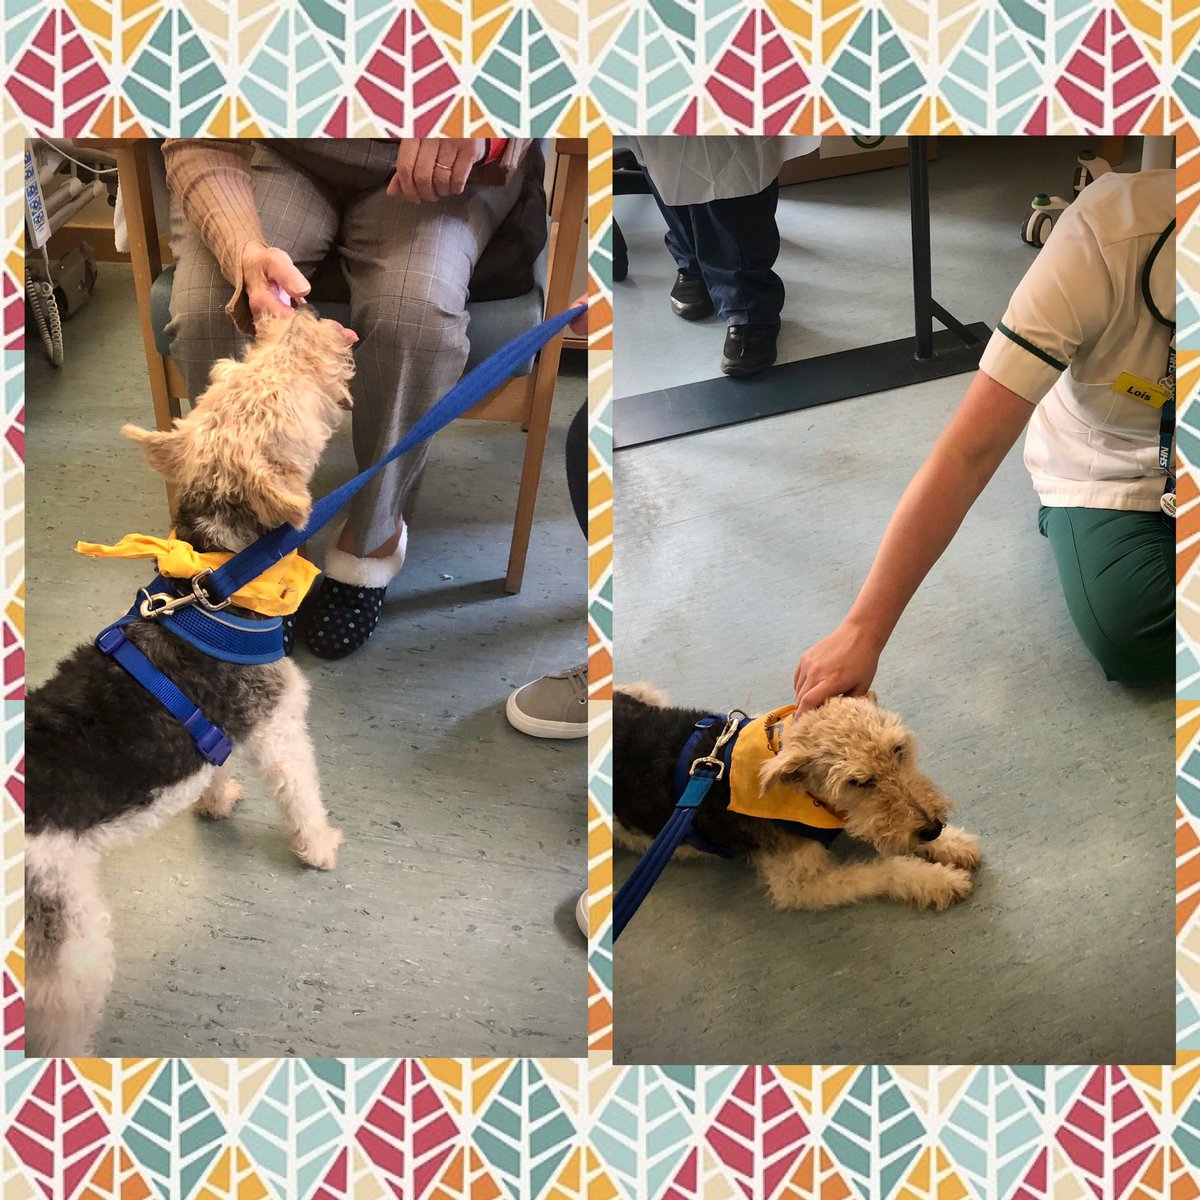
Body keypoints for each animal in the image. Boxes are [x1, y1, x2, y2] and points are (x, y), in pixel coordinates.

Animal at [25, 309, 352, 1060]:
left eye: (231, 371)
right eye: (272, 390)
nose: (304, 314)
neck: (215, 582)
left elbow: (215, 768)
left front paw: (217, 800)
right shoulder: (280, 728)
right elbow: (302, 797)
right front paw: (319, 847)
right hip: (69, 953)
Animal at [614, 686, 979, 907]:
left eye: (899, 749)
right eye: (858, 781)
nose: (932, 828)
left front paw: (953, 844)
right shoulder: (797, 885)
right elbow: (884, 869)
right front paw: (938, 880)